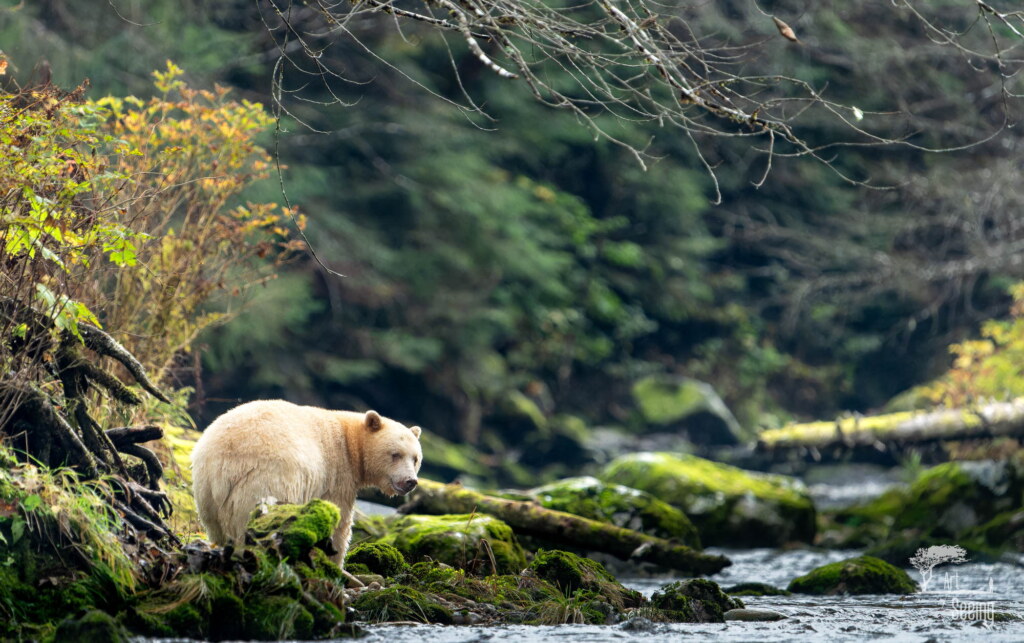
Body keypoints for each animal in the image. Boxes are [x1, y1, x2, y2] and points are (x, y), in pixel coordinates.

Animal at [190, 399, 423, 565]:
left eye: (415, 458)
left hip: (206, 492)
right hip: (266, 481)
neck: (351, 443)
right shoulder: (337, 474)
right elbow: (339, 521)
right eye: (395, 454)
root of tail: (224, 464)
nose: (410, 481)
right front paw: (334, 560)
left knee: (218, 527)